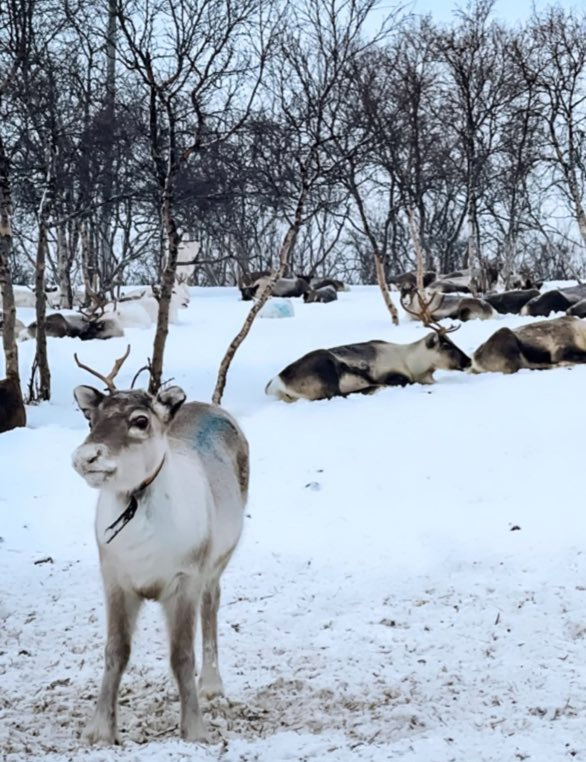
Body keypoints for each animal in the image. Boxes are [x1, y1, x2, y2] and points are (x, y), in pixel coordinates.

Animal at [71, 347, 249, 745]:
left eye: (140, 420)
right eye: (92, 419)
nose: (86, 457)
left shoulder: (185, 579)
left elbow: (181, 656)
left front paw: (194, 729)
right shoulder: (115, 578)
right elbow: (115, 651)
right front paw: (99, 730)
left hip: (219, 560)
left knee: (212, 605)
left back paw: (212, 686)